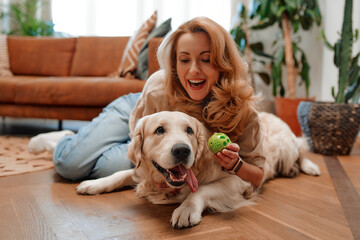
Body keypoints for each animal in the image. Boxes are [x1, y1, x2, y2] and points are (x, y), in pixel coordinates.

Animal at [76, 110, 320, 229]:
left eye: (189, 130)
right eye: (159, 130)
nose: (182, 150)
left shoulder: (239, 181)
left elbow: (201, 190)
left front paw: (186, 209)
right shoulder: (143, 174)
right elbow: (121, 174)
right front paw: (93, 184)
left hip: (287, 146)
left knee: (300, 150)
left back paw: (308, 167)